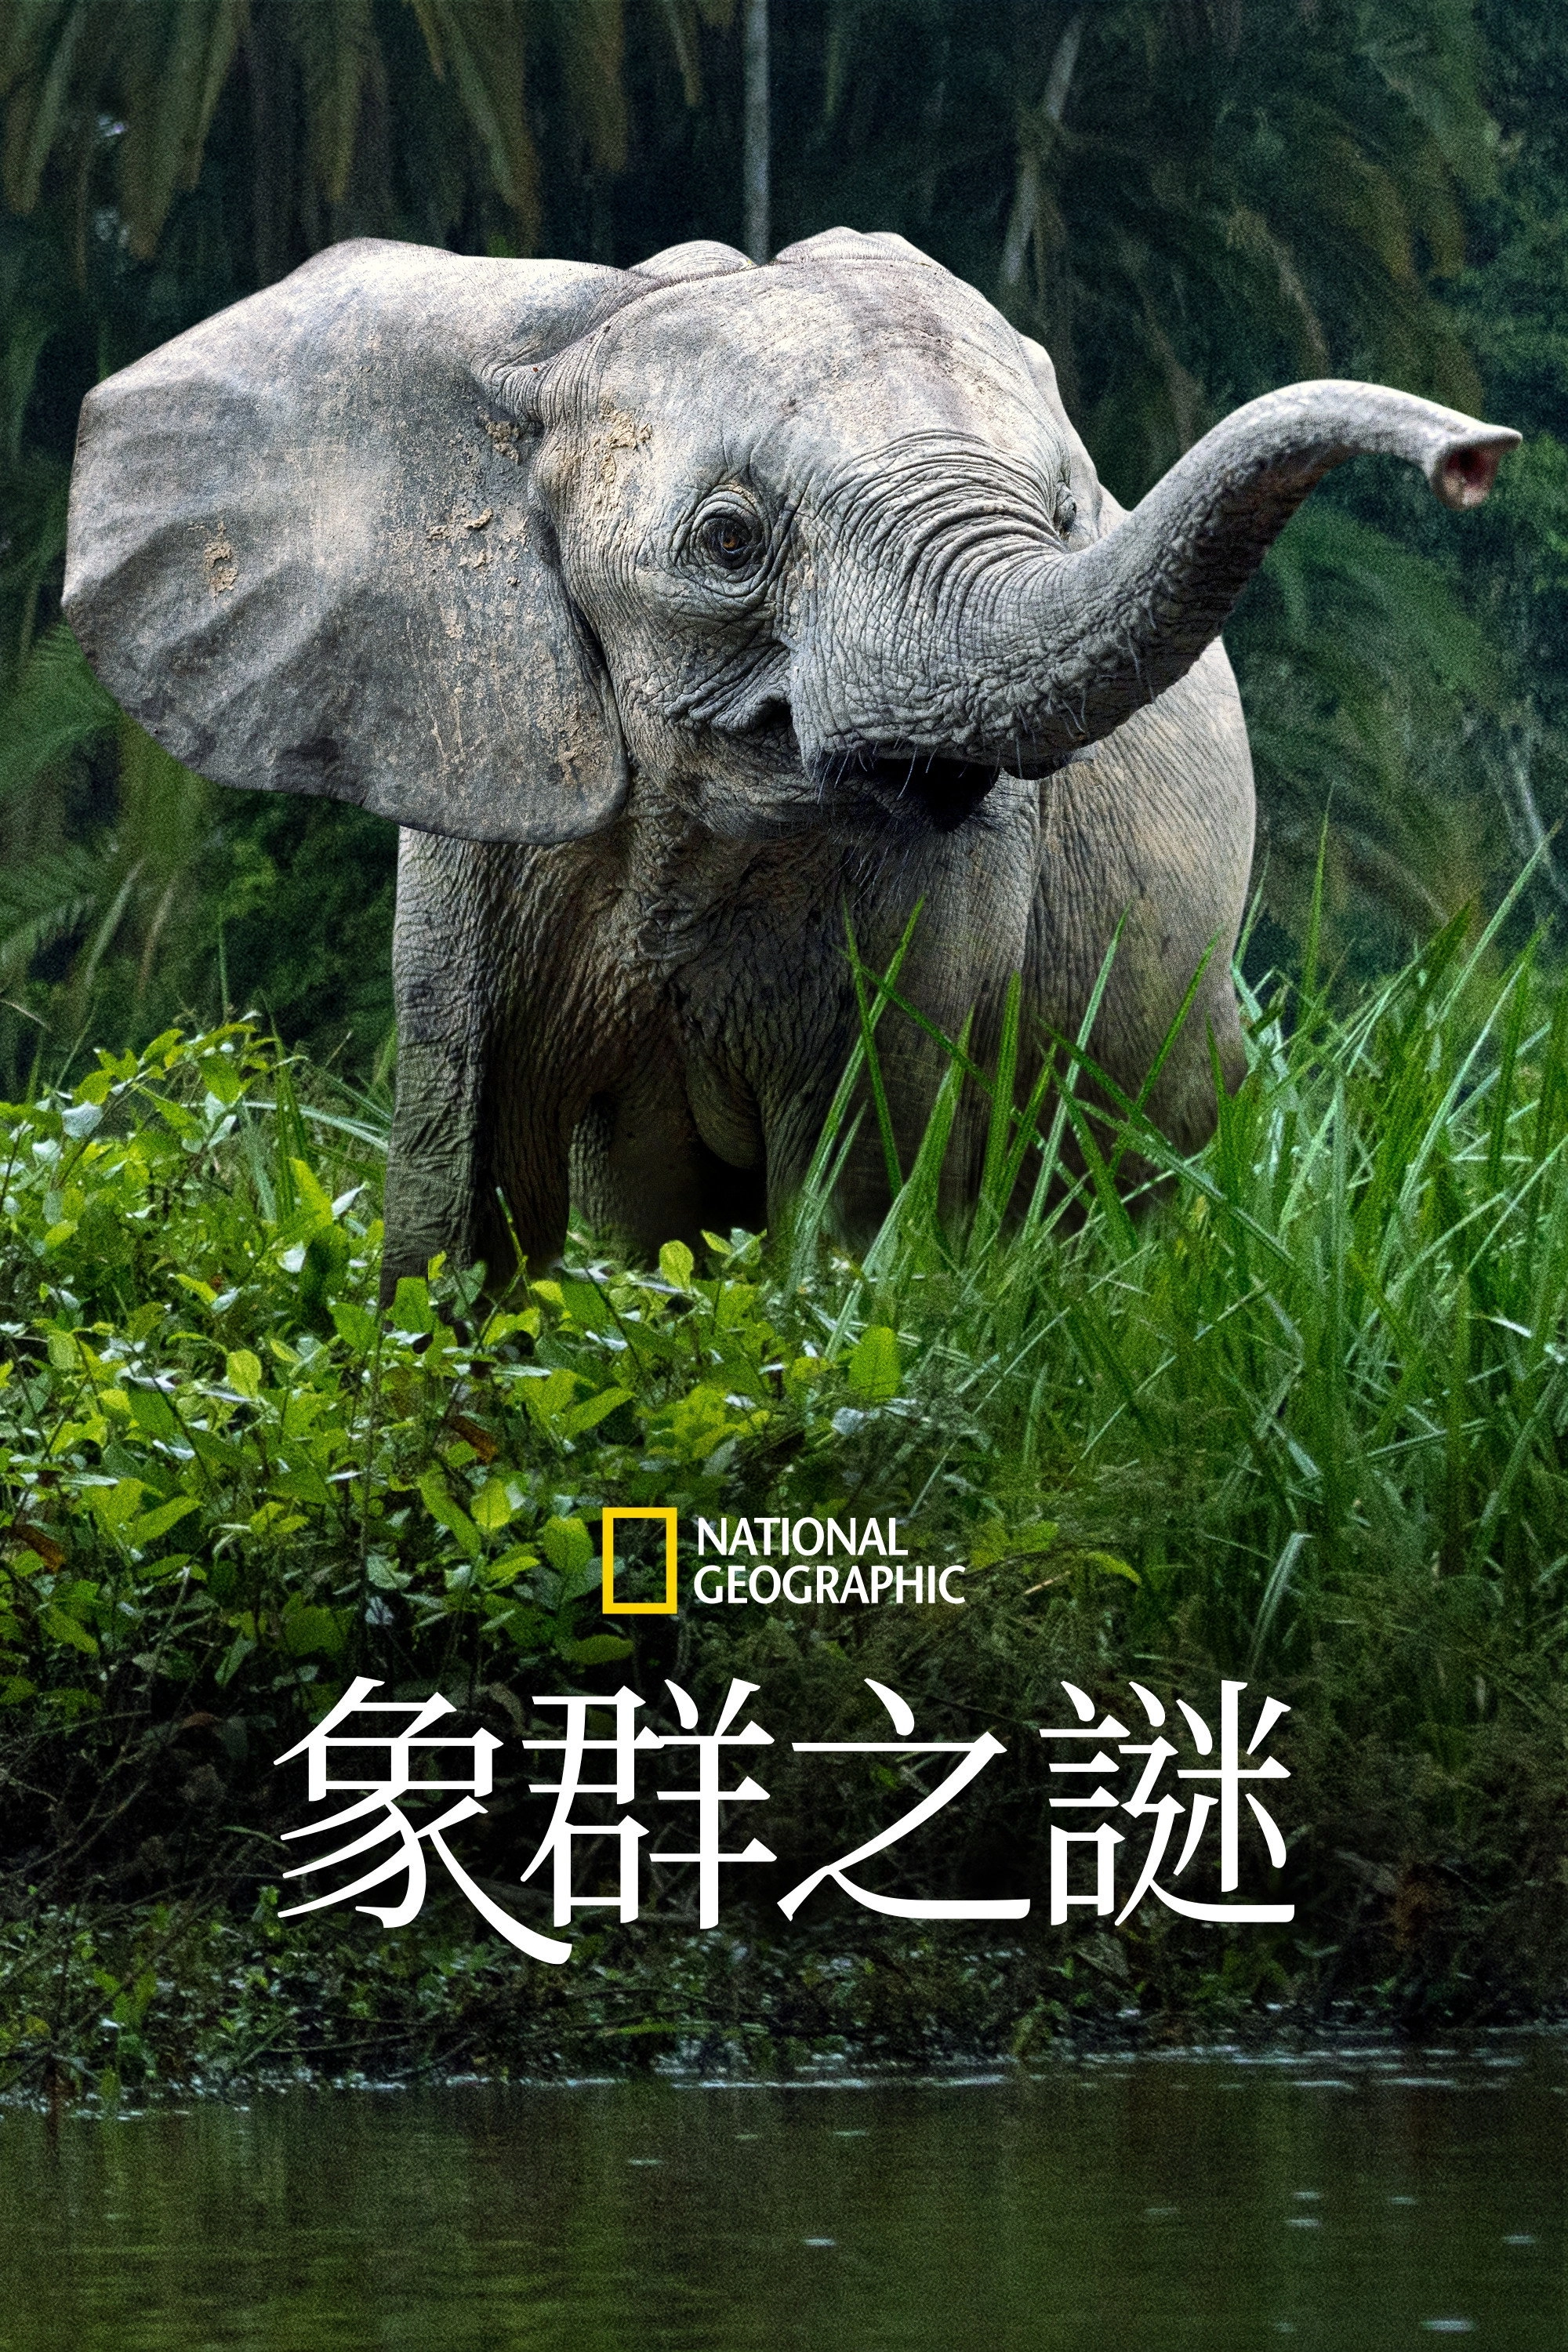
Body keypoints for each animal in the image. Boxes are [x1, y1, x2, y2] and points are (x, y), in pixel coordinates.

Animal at [62, 228, 1516, 1293]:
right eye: (729, 540)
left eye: (1067, 518)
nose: (1476, 458)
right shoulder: (479, 786)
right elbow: (467, 1189)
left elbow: (855, 1187)